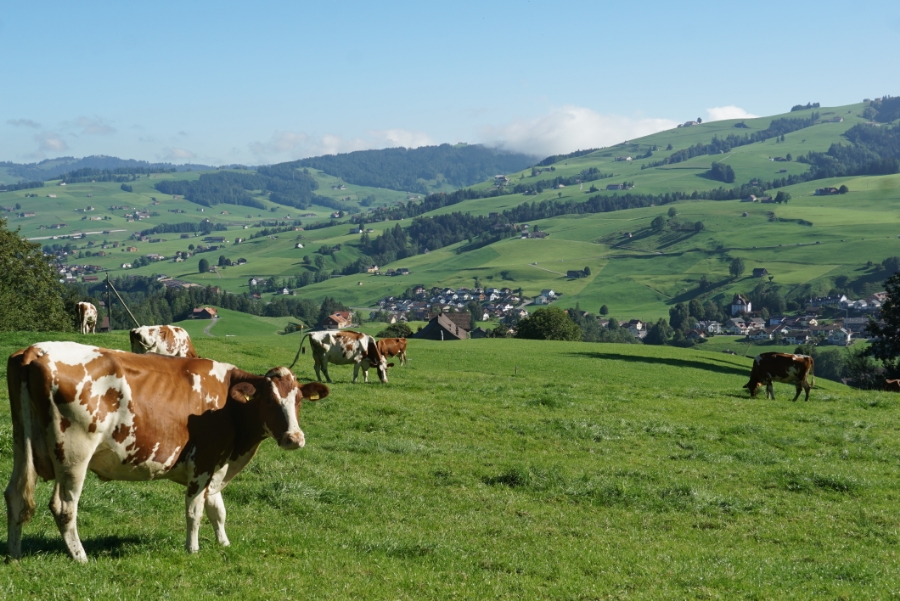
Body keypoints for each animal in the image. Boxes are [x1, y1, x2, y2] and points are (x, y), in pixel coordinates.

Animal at [5, 342, 328, 564]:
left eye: (298, 399)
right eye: (268, 400)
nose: (294, 438)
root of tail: (35, 350)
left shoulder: (218, 463)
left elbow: (217, 509)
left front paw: (223, 543)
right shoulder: (204, 460)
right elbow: (195, 510)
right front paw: (193, 549)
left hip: (23, 444)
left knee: (15, 496)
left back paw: (13, 555)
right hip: (74, 454)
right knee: (64, 507)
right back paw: (80, 557)